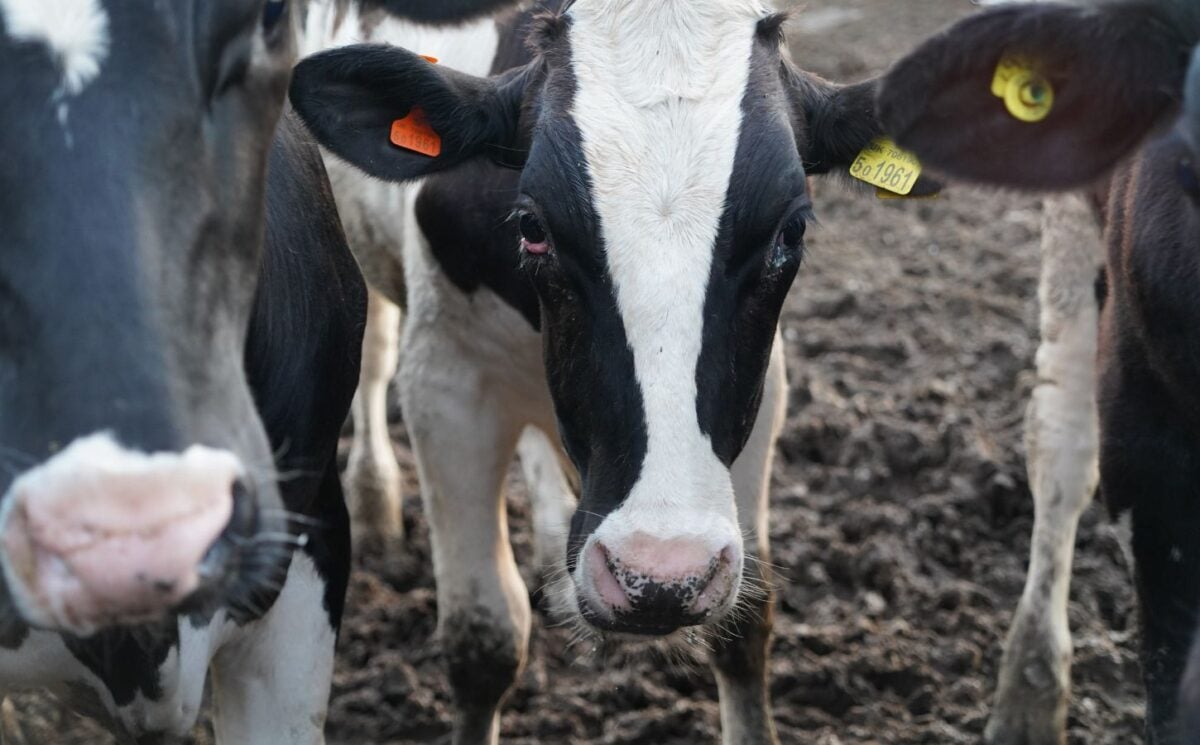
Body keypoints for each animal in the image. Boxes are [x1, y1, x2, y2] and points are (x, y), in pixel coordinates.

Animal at [290, 2, 907, 739]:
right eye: (532, 226)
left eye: (792, 231)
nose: (659, 577)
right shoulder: (446, 379)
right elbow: (482, 639)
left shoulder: (761, 388)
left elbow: (744, 625)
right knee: (376, 352)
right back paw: (377, 497)